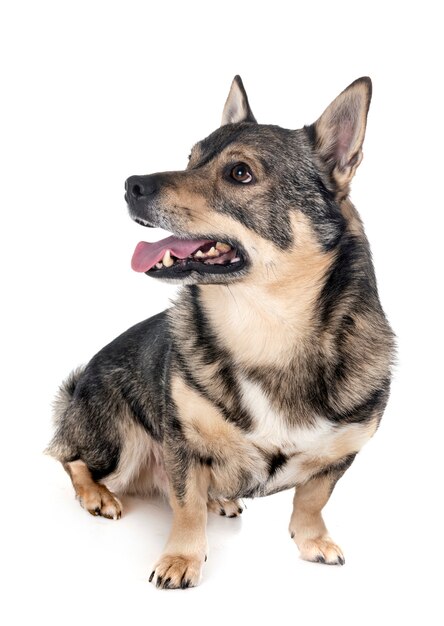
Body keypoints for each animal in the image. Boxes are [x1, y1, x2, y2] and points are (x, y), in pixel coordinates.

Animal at [47, 75, 396, 588]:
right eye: (190, 158)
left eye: (239, 174)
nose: (131, 185)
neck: (266, 331)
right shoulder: (181, 443)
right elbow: (186, 505)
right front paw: (181, 558)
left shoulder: (341, 455)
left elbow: (312, 498)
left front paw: (312, 540)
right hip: (119, 438)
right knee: (70, 458)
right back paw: (98, 496)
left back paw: (223, 499)